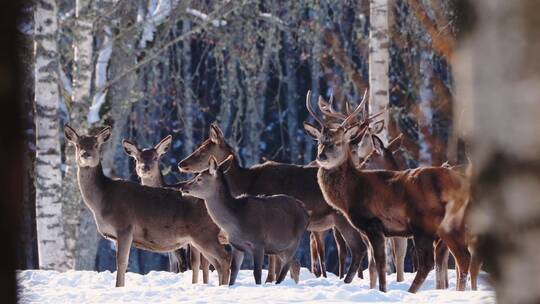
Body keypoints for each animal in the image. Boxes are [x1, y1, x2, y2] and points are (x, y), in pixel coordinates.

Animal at [180, 156, 308, 286]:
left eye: (199, 178)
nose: (183, 187)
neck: (238, 223)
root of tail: (305, 211)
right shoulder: (237, 246)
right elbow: (234, 272)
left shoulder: (259, 243)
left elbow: (257, 274)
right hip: (279, 246)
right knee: (295, 263)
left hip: (295, 240)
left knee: (286, 266)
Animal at [304, 91, 472, 294]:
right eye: (320, 142)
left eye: (338, 142)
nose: (321, 156)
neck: (353, 191)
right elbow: (378, 265)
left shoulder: (373, 223)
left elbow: (380, 264)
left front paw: (382, 291)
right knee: (462, 257)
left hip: (425, 222)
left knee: (431, 262)